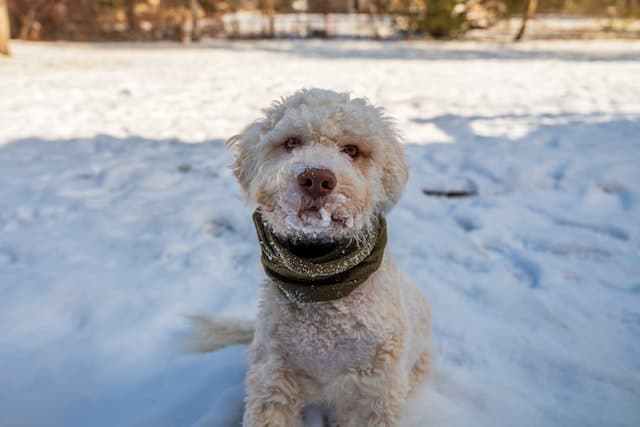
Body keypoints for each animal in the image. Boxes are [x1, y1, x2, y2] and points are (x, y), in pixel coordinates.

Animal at [189, 88, 430, 427]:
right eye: (292, 143)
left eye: (351, 150)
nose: (316, 178)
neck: (320, 281)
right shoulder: (273, 377)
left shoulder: (373, 389)